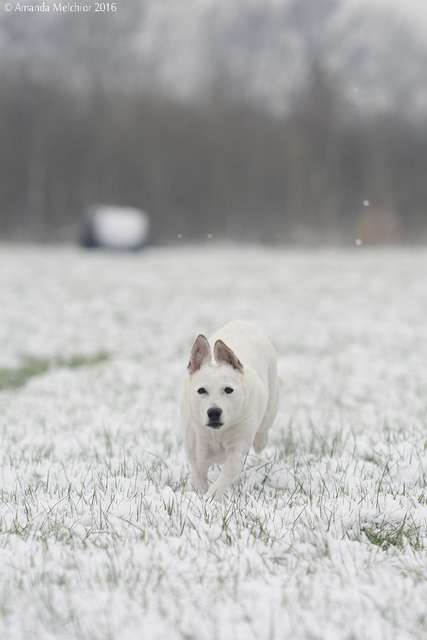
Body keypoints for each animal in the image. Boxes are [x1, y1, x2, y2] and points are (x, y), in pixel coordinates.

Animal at [179, 320, 280, 500]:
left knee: (264, 427)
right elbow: (198, 479)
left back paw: (260, 442)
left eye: (228, 390)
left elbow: (225, 476)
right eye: (201, 390)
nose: (214, 412)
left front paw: (210, 499)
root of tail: (242, 321)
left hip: (270, 405)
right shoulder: (197, 458)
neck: (216, 435)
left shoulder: (237, 449)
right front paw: (200, 499)